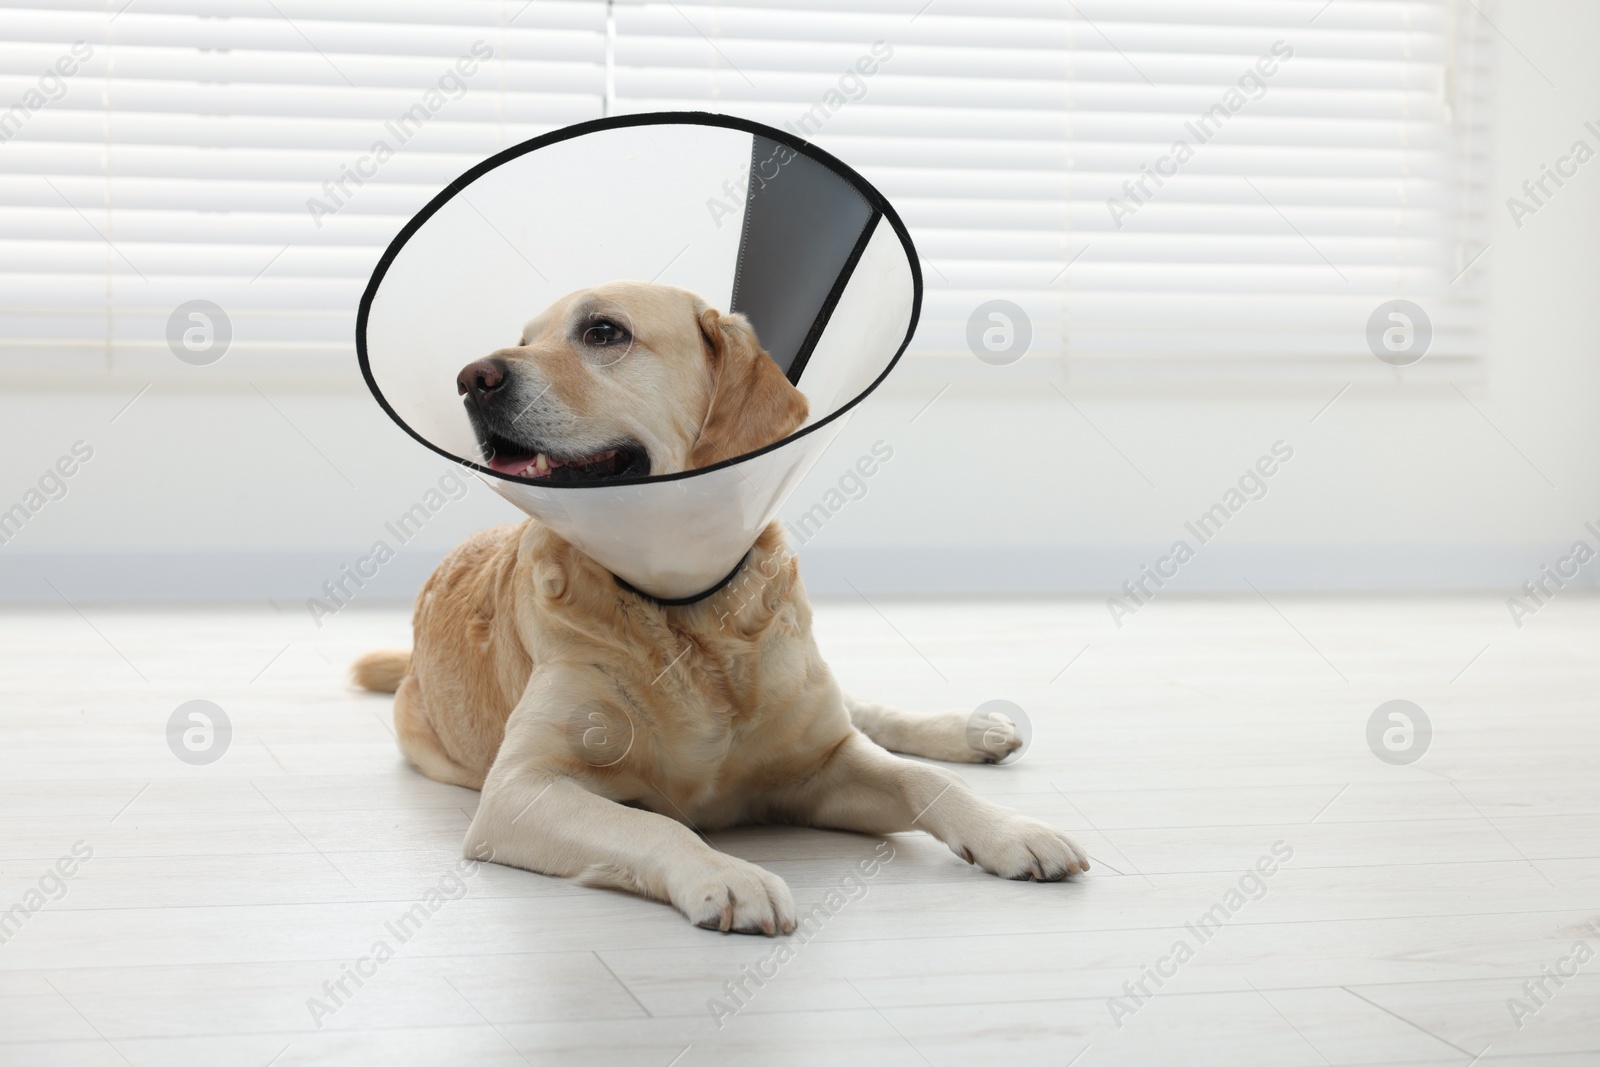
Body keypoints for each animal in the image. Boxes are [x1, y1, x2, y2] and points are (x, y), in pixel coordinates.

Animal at [353, 281, 1088, 934]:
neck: (686, 604)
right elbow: (653, 822)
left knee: (867, 714)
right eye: (527, 339)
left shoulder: (822, 764)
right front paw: (729, 875)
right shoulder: (520, 788)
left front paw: (1009, 829)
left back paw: (973, 729)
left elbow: (921, 781)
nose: (471, 379)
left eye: (603, 332)